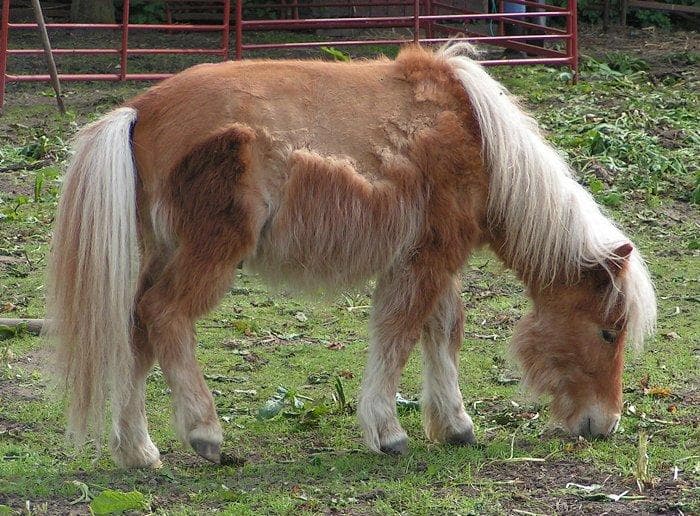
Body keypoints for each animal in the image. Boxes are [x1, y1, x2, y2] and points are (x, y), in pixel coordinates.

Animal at [45, 43, 657, 468]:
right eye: (609, 331)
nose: (603, 425)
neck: (478, 137)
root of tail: (138, 111)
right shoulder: (424, 261)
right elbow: (399, 334)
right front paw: (388, 432)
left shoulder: (432, 260)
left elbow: (444, 331)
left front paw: (454, 425)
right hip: (208, 257)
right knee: (163, 315)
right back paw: (204, 433)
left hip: (161, 253)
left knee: (135, 331)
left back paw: (137, 451)